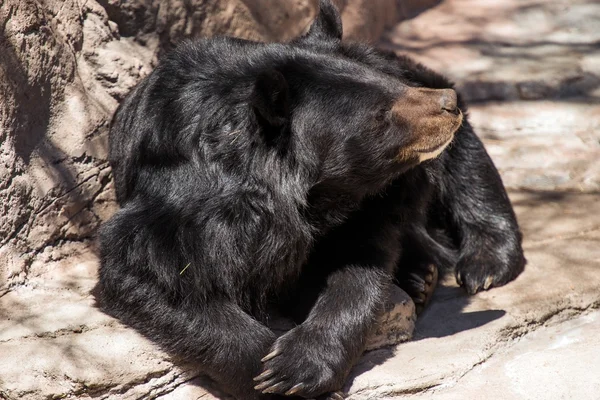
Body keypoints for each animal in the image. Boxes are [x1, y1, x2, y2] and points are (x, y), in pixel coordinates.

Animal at [97, 1, 524, 398]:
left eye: (391, 85)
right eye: (381, 115)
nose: (447, 104)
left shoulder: (363, 204)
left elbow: (356, 270)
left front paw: (297, 368)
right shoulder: (181, 206)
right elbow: (156, 276)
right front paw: (271, 372)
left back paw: (482, 264)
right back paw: (420, 277)